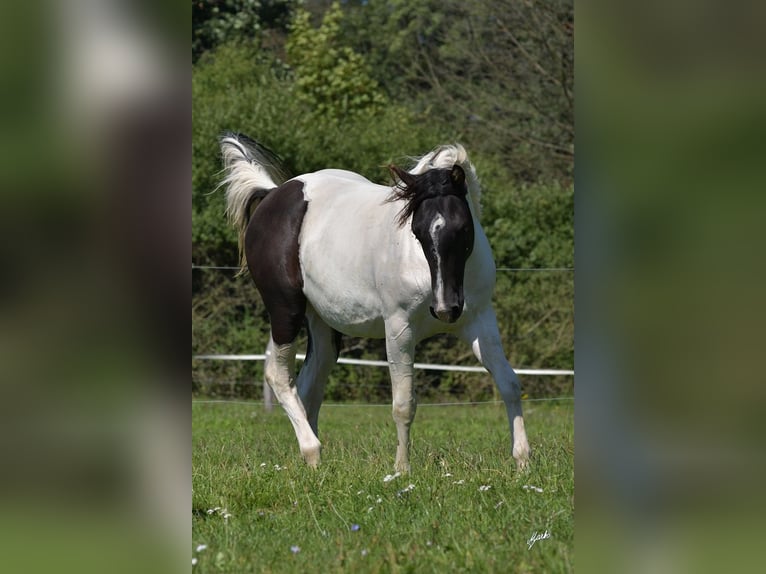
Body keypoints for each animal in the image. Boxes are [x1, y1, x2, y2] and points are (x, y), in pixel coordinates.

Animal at [219, 134, 532, 472]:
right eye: (417, 231)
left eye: (462, 227)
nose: (445, 309)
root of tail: (272, 194)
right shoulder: (398, 328)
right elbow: (404, 403)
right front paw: (402, 469)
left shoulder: (480, 320)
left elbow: (509, 383)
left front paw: (523, 461)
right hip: (285, 311)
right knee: (279, 376)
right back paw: (311, 450)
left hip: (323, 324)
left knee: (309, 384)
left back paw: (314, 464)